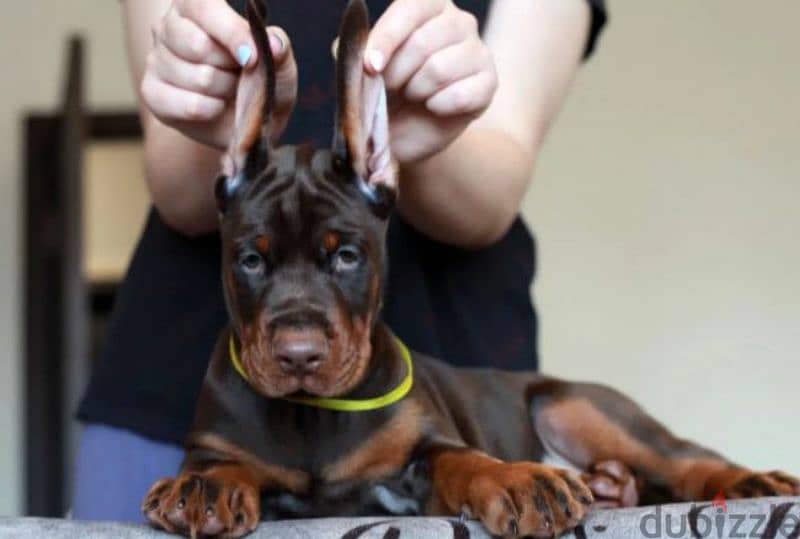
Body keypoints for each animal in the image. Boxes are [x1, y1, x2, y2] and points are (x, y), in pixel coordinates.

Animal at [144, 2, 800, 536]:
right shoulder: (217, 442)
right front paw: (206, 487)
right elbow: (224, 462)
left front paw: (518, 480)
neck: (310, 414)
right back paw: (612, 489)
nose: (299, 357)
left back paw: (745, 481)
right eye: (251, 260)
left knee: (682, 456)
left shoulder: (425, 453)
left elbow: (466, 460)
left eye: (347, 256)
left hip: (577, 405)